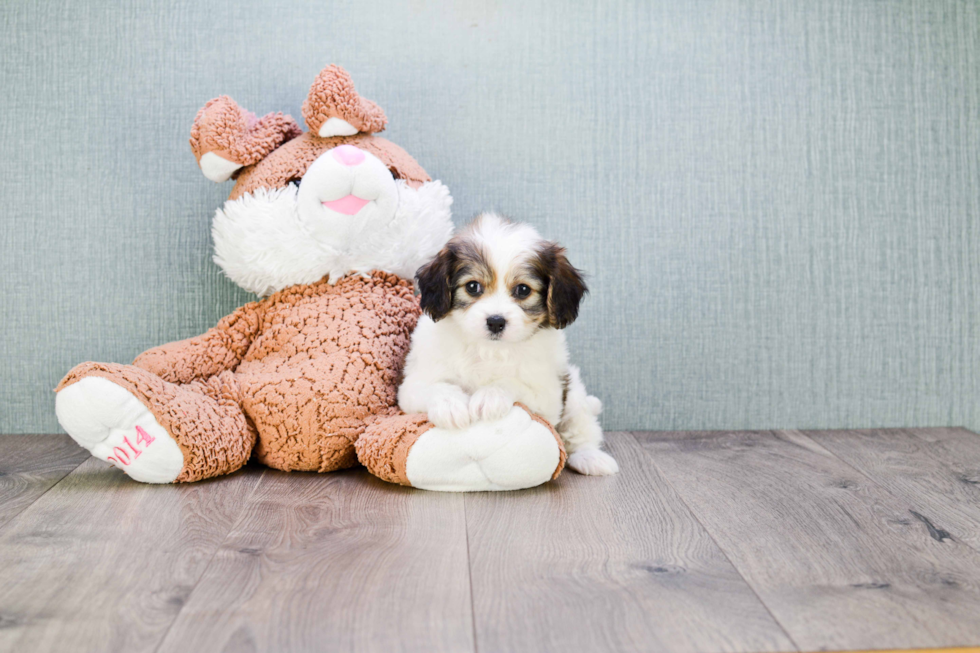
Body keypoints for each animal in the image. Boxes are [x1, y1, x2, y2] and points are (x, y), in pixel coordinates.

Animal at [394, 213, 616, 474]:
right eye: (472, 286)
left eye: (523, 290)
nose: (496, 321)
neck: (489, 349)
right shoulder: (411, 387)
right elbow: (435, 387)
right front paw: (450, 405)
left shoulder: (547, 395)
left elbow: (511, 382)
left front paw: (490, 396)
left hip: (574, 398)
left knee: (582, 432)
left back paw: (591, 457)